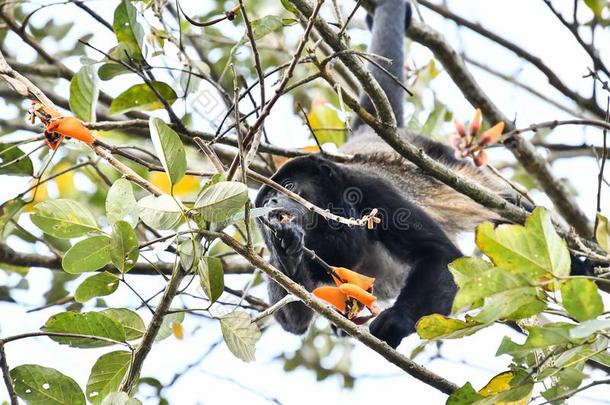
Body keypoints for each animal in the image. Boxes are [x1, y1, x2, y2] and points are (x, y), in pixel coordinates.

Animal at [254, 0, 510, 348]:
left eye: (289, 185)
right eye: (266, 198)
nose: (274, 203)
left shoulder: (373, 192)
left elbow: (440, 255)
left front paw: (397, 320)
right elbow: (294, 318)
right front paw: (287, 248)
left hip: (441, 156)